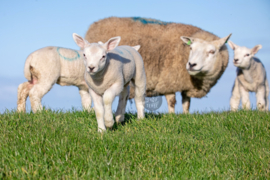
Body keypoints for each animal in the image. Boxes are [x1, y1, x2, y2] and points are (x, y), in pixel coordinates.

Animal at [85, 16, 231, 112]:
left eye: (212, 51)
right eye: (191, 48)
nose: (191, 64)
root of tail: (94, 25)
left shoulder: (184, 84)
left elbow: (186, 103)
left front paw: (186, 115)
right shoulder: (169, 81)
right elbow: (171, 101)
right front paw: (172, 116)